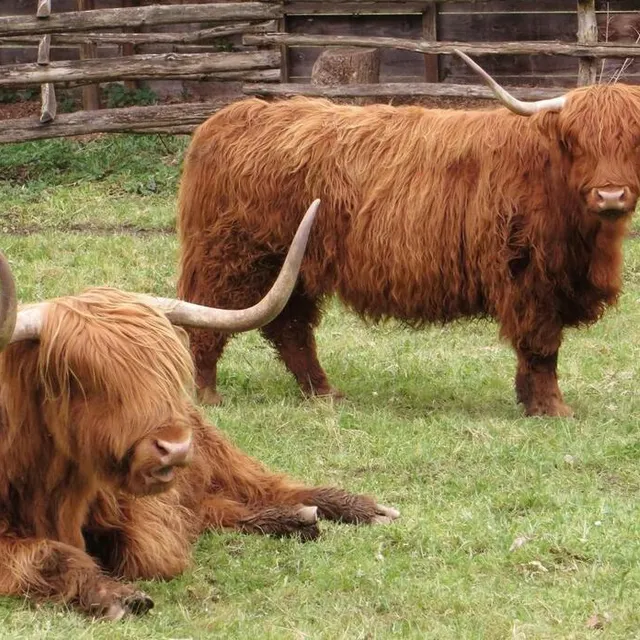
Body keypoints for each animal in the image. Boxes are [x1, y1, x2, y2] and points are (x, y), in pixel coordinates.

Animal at [0, 204, 399, 620]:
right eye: (79, 379)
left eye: (167, 371)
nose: (175, 447)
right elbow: (48, 556)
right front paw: (117, 596)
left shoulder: (148, 509)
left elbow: (154, 549)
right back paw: (298, 519)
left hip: (217, 450)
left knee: (265, 485)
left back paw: (359, 508)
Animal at [176, 51, 640, 417]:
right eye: (577, 141)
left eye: (633, 143)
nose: (610, 194)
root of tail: (230, 117)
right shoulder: (530, 278)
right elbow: (542, 347)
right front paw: (552, 408)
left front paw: (532, 401)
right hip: (231, 257)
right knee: (206, 317)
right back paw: (206, 394)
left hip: (294, 263)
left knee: (289, 326)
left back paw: (324, 393)